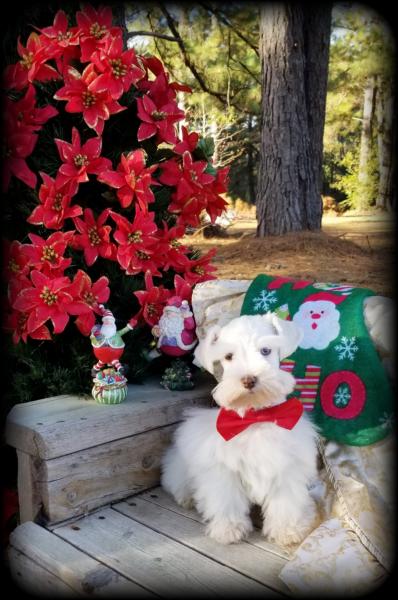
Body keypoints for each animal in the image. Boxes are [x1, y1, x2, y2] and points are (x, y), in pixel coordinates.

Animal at [160, 316, 318, 548]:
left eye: (265, 350)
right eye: (228, 357)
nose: (248, 379)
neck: (255, 419)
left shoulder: (286, 468)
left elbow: (285, 503)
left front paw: (287, 530)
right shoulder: (224, 472)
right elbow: (227, 501)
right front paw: (229, 529)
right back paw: (187, 497)